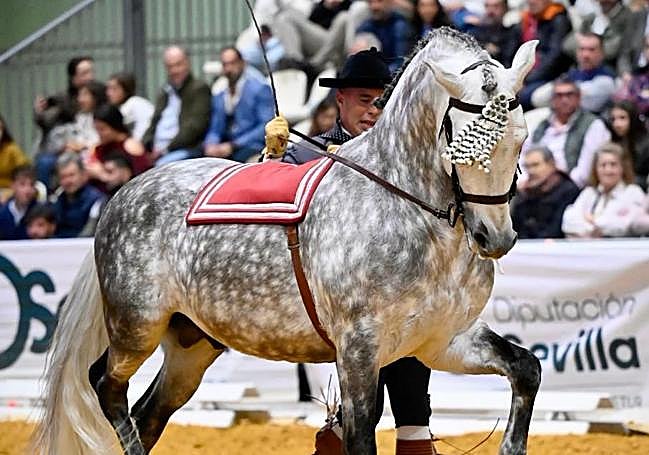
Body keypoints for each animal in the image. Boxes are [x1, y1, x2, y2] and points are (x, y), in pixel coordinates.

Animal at [34, 28, 540, 455]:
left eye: (520, 139)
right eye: (464, 144)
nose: (494, 237)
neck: (406, 208)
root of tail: (124, 193)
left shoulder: (443, 339)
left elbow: (526, 369)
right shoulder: (359, 349)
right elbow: (359, 434)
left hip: (191, 344)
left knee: (148, 412)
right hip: (136, 326)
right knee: (106, 385)